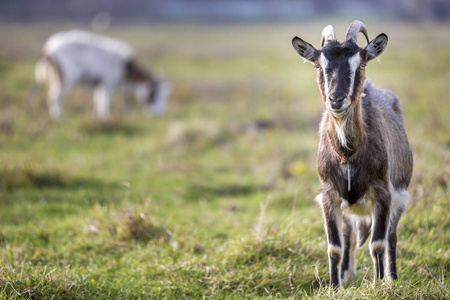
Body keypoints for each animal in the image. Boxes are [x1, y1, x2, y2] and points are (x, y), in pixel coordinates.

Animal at [35, 30, 169, 119]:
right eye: (153, 93)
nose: (160, 113)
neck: (127, 69)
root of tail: (48, 50)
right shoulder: (108, 82)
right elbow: (105, 102)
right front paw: (106, 117)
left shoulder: (99, 84)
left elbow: (98, 101)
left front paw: (99, 117)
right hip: (65, 77)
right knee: (55, 97)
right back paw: (58, 117)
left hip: (54, 76)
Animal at [290, 21, 414, 288]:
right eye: (319, 65)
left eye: (362, 63)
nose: (337, 99)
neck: (348, 152)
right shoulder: (329, 196)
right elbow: (334, 247)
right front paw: (334, 287)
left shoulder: (383, 194)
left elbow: (377, 244)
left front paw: (379, 284)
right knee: (348, 234)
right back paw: (347, 273)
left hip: (399, 198)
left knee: (391, 237)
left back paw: (392, 278)